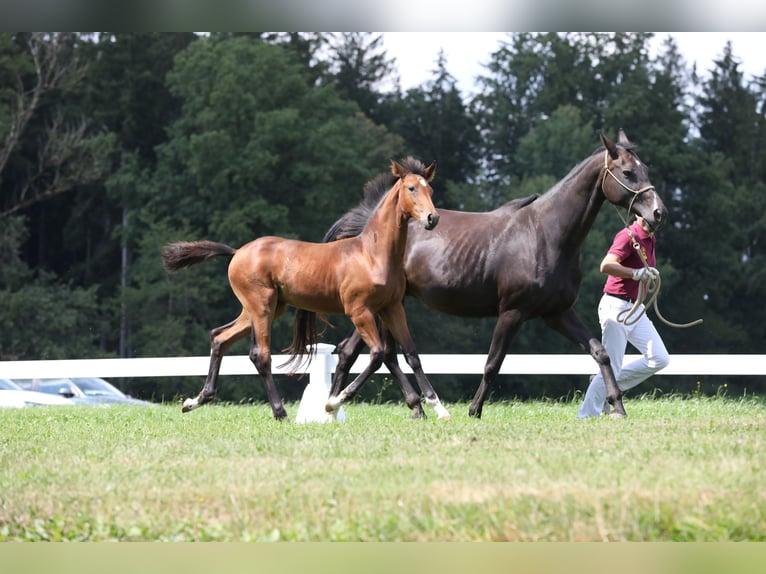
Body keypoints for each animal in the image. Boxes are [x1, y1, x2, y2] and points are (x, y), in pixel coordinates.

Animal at [162, 160, 450, 420]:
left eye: (430, 189)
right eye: (411, 188)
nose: (432, 218)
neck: (373, 253)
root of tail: (236, 252)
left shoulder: (392, 307)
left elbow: (411, 354)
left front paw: (439, 408)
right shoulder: (359, 311)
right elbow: (378, 355)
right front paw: (333, 402)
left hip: (266, 309)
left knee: (219, 337)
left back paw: (195, 401)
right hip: (261, 306)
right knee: (260, 355)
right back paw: (280, 413)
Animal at [320, 132, 668, 418]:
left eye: (647, 170)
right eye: (627, 173)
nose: (658, 213)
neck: (547, 234)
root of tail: (369, 223)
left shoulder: (556, 312)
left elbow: (600, 352)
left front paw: (618, 406)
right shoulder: (512, 312)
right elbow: (492, 363)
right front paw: (474, 410)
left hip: (389, 305)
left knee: (361, 351)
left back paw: (354, 406)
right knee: (381, 353)